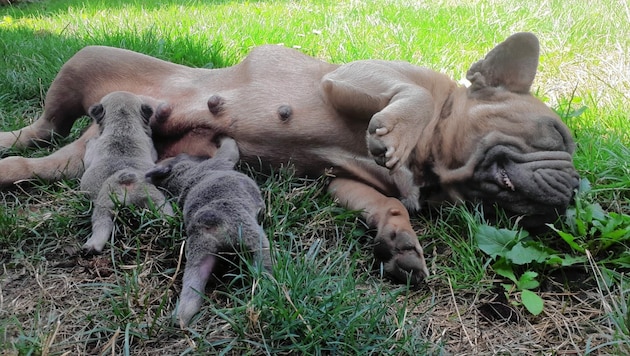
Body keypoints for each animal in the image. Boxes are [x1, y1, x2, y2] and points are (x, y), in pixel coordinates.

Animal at [82, 90, 175, 254]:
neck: (122, 123)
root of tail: (127, 178)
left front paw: (90, 141)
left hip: (104, 203)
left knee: (102, 223)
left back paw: (92, 246)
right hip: (155, 198)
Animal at [146, 136, 272, 328]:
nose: (199, 155)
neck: (180, 177)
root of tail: (208, 226)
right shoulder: (220, 160)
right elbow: (229, 151)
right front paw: (226, 139)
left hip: (199, 255)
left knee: (192, 290)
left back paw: (179, 318)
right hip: (249, 231)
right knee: (263, 257)